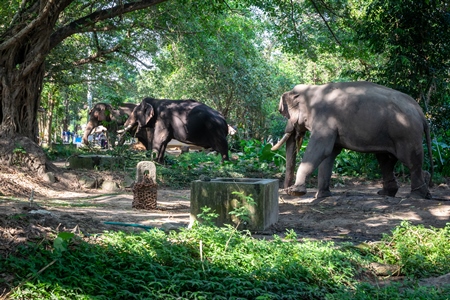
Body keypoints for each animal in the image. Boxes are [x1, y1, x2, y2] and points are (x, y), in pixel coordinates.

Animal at [270, 81, 432, 200]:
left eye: (284, 113)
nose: (285, 190)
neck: (313, 88)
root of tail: (421, 113)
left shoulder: (324, 120)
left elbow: (320, 150)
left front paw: (296, 192)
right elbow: (329, 154)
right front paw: (322, 196)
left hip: (406, 133)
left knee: (410, 161)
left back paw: (416, 196)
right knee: (386, 160)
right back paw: (390, 193)